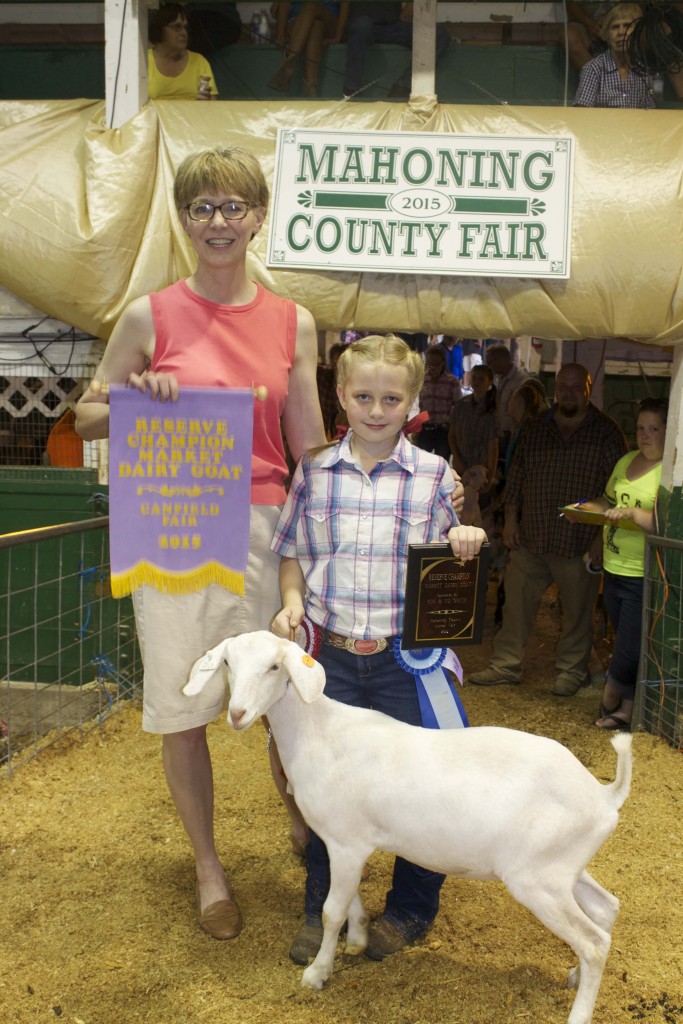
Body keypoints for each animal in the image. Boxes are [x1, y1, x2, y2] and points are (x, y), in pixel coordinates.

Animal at [183, 630, 633, 1024]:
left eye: (275, 666)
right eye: (228, 663)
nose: (238, 714)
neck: (321, 732)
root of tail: (604, 796)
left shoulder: (345, 842)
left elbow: (330, 911)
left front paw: (317, 973)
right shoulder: (345, 842)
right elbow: (348, 899)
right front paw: (358, 939)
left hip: (537, 880)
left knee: (595, 942)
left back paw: (579, 1012)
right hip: (561, 868)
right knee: (606, 908)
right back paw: (575, 976)